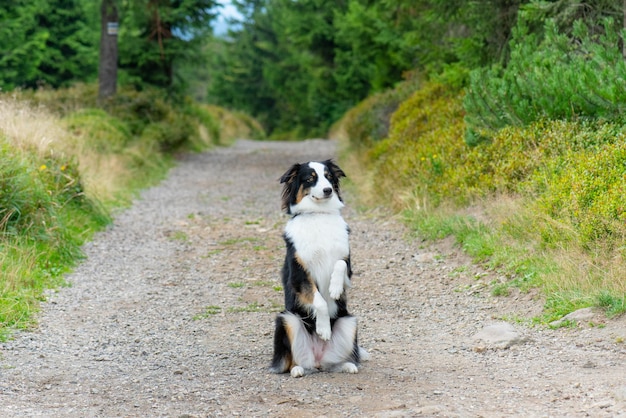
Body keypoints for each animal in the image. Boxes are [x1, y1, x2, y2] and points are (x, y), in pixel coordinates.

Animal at [268, 159, 366, 378]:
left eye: (328, 177)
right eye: (310, 179)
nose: (328, 190)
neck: (319, 214)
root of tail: (317, 359)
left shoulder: (347, 263)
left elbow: (339, 264)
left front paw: (335, 289)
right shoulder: (299, 273)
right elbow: (319, 300)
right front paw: (323, 329)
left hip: (349, 322)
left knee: (337, 361)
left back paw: (347, 365)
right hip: (287, 319)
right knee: (291, 361)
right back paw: (297, 369)